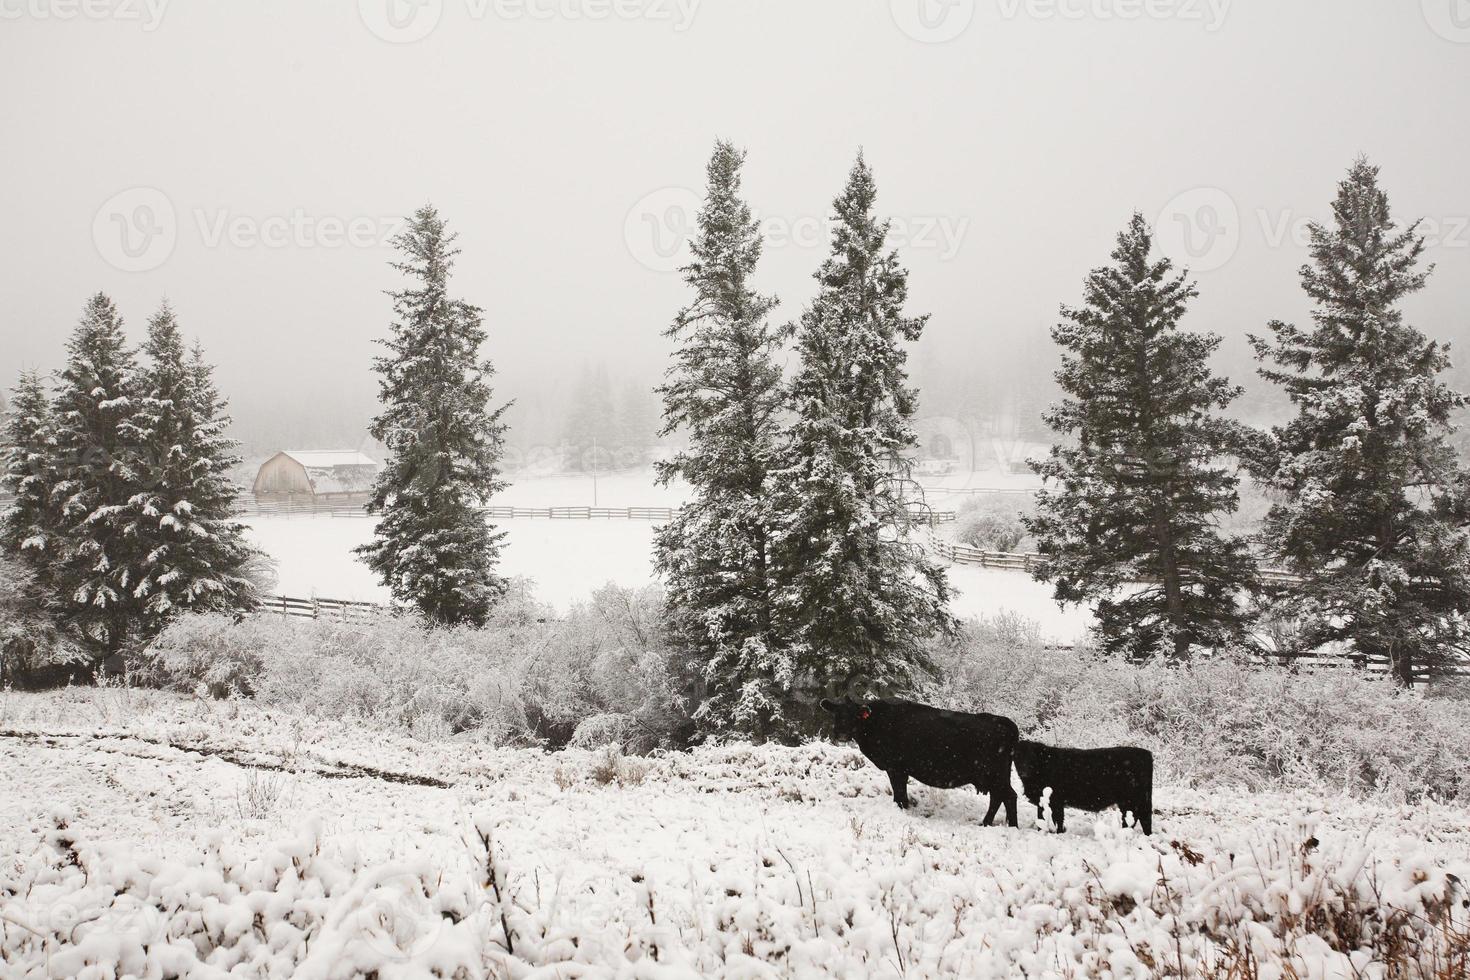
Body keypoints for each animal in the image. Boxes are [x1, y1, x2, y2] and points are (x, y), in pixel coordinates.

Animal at [823, 696, 1017, 828]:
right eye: (836, 714)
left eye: (855, 715)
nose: (841, 733)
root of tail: (1002, 720)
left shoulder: (896, 767)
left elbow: (899, 792)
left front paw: (901, 809)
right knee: (1001, 797)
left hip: (995, 775)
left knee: (1007, 796)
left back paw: (1002, 825)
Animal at [1017, 743, 1152, 834]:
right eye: (1018, 755)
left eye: (1031, 756)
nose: (1024, 771)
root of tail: (1146, 753)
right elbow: (1043, 818)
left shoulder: (1056, 800)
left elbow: (1057, 819)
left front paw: (1059, 832)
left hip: (1130, 800)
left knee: (1133, 818)